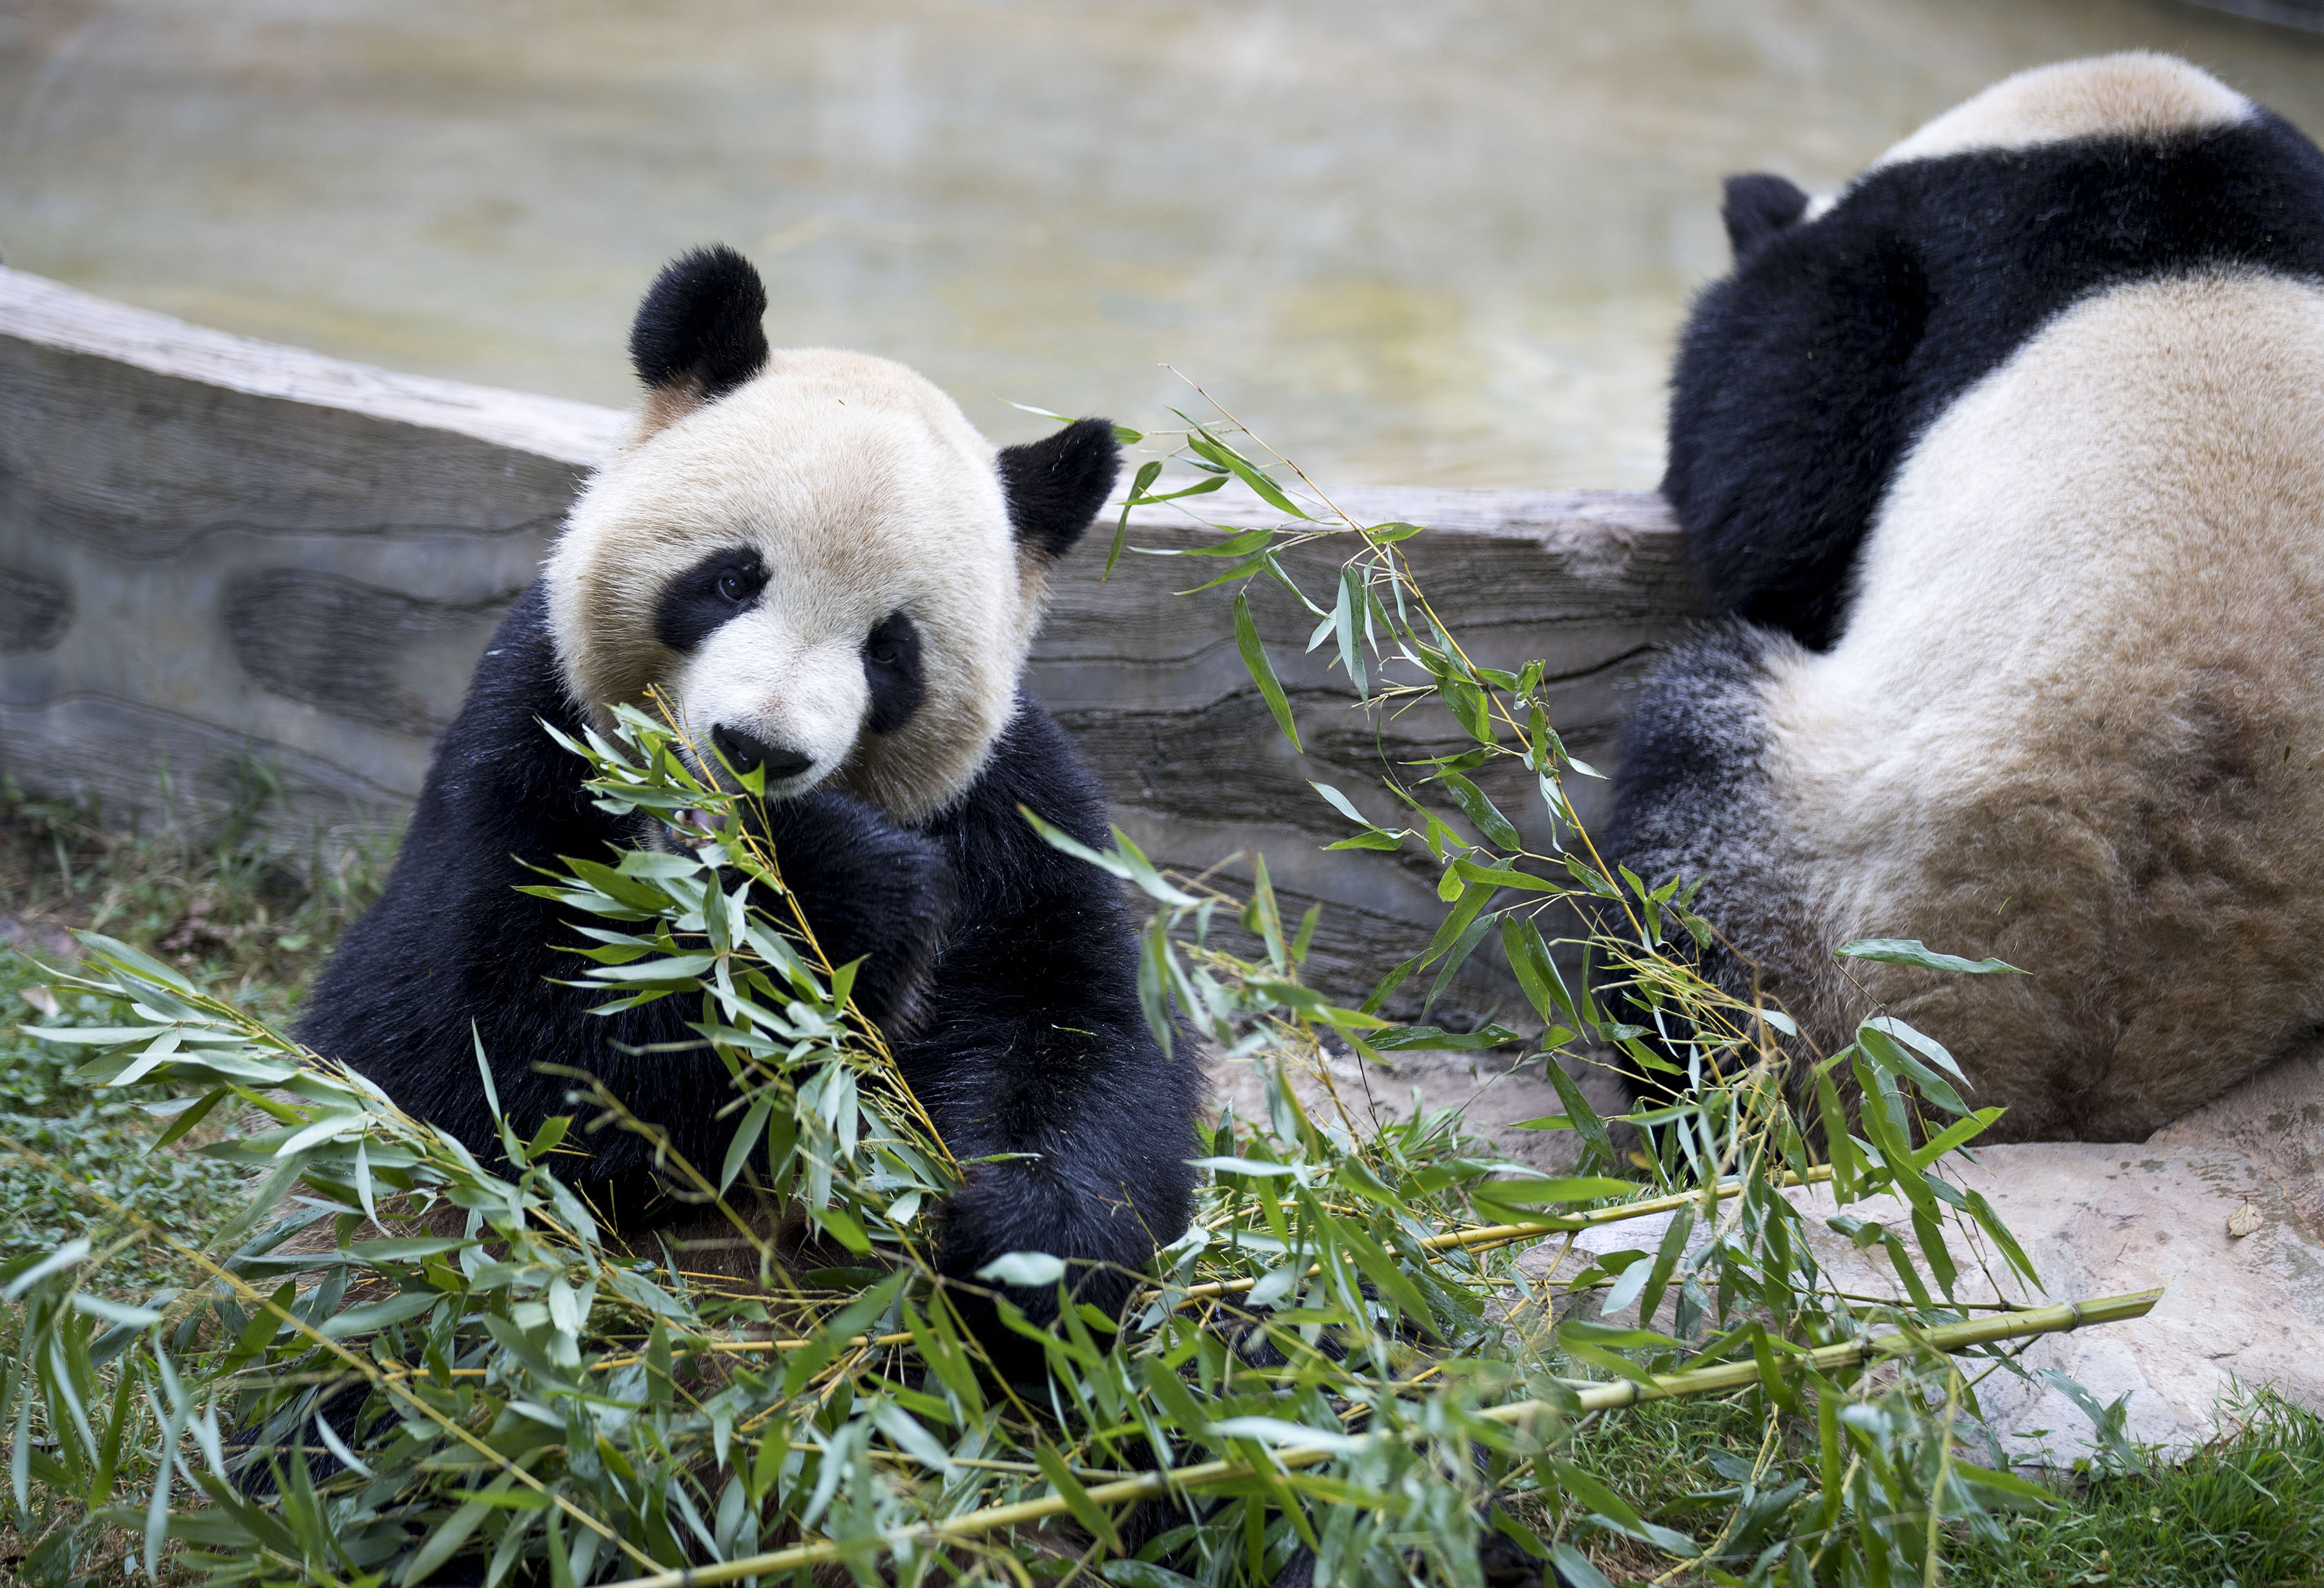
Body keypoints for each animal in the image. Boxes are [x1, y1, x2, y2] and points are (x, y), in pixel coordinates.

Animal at [292, 249, 1208, 1358]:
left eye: (891, 649)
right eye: (732, 580)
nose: (760, 752)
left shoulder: (1003, 807)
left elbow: (1076, 1025)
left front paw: (1031, 1258)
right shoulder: (525, 745)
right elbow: (483, 1049)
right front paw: (827, 887)